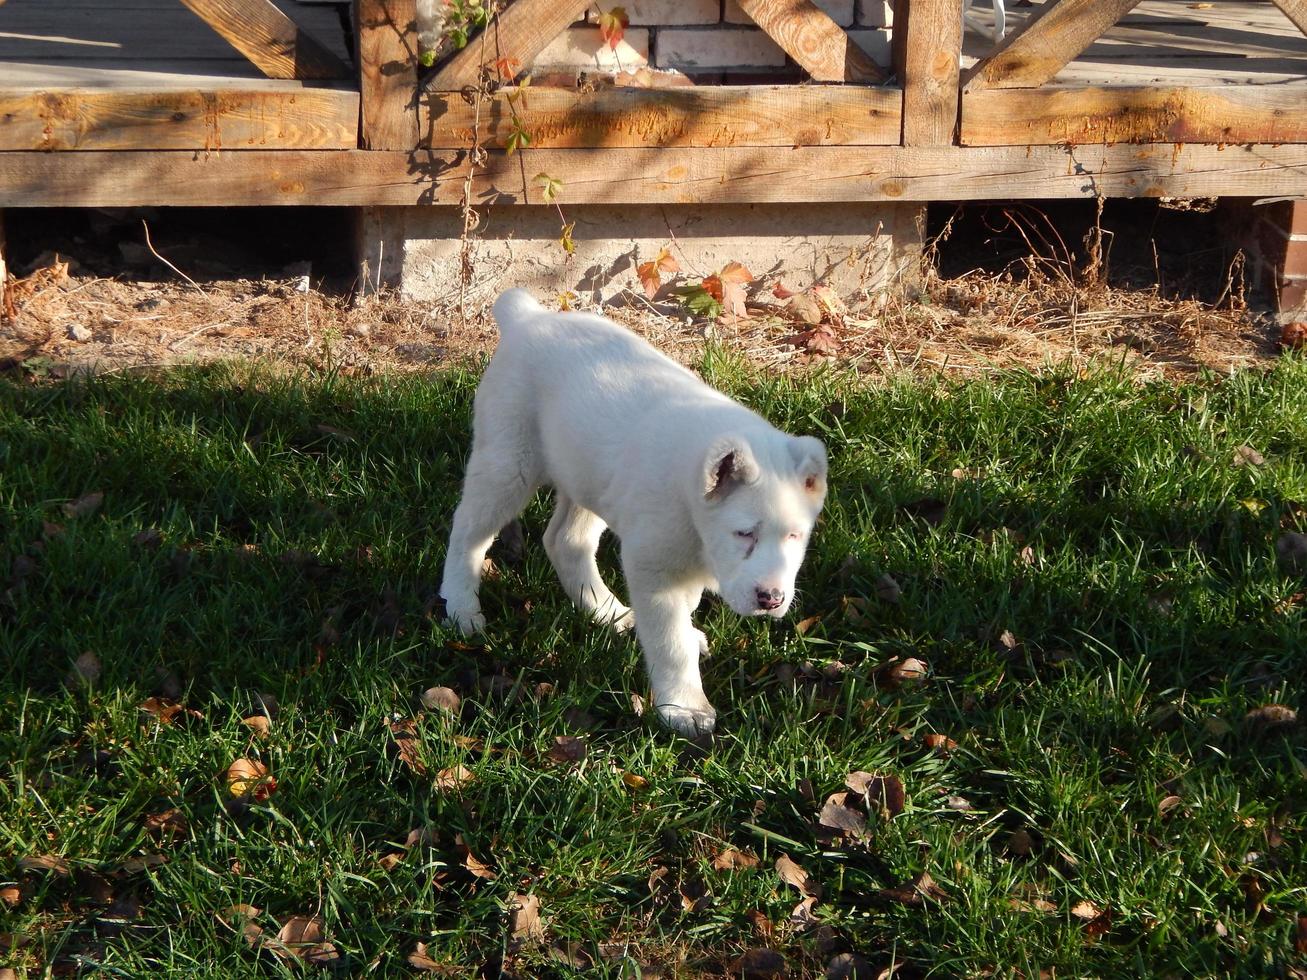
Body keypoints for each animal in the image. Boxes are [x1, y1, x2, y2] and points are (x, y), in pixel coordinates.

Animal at [439, 287, 826, 731]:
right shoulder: (656, 566)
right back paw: (462, 608)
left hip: (587, 478)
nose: (771, 599)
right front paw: (685, 708)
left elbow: (682, 615)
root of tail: (528, 317)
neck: (692, 502)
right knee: (468, 532)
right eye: (744, 534)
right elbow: (670, 640)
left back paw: (610, 614)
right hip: (508, 463)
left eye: (795, 536)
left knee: (565, 541)